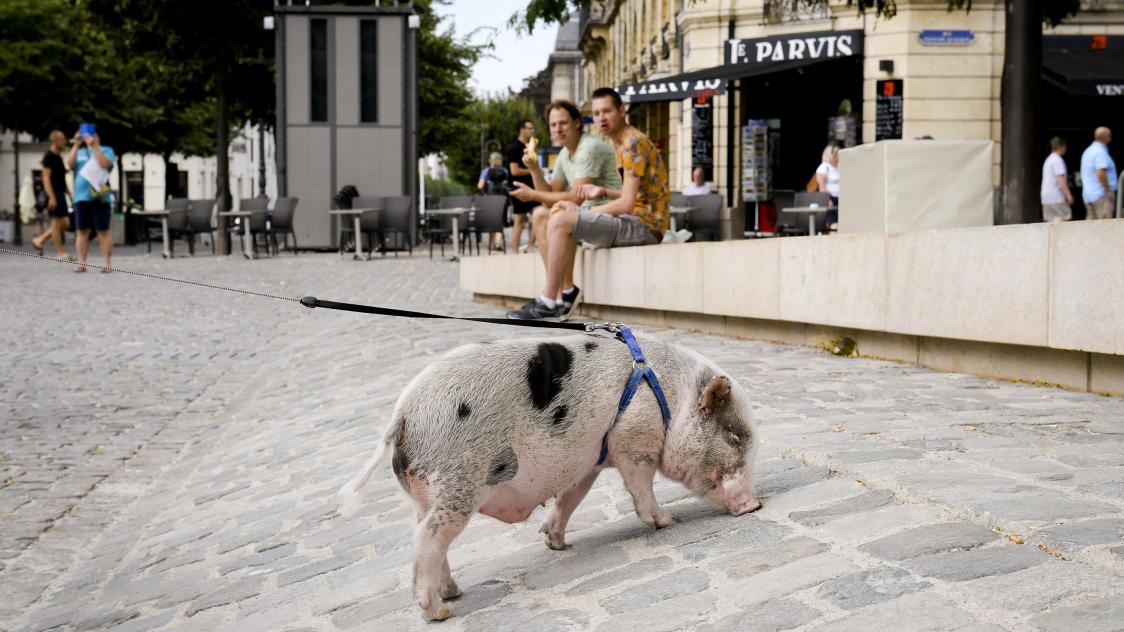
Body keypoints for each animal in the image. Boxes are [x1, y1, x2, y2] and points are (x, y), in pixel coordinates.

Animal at [337, 331, 760, 621]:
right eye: (734, 436)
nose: (755, 504)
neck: (670, 398)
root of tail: (401, 416)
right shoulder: (633, 441)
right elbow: (641, 488)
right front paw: (668, 522)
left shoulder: (589, 462)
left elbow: (570, 499)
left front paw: (556, 543)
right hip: (458, 485)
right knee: (426, 538)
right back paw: (441, 613)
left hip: (427, 495)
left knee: (430, 537)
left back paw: (454, 593)